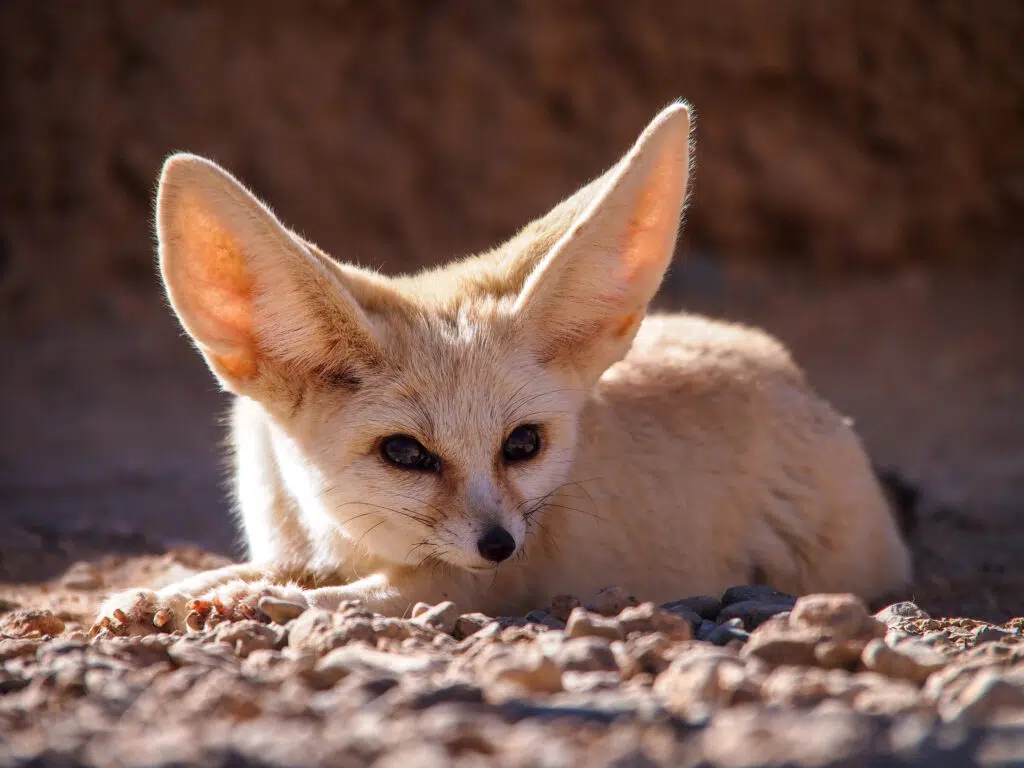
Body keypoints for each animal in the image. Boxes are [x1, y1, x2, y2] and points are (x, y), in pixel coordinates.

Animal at [93, 101, 911, 636]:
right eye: (405, 454)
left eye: (523, 444)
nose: (498, 543)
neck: (348, 540)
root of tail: (795, 378)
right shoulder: (302, 547)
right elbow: (250, 574)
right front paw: (166, 595)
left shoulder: (482, 584)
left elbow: (352, 597)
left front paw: (263, 605)